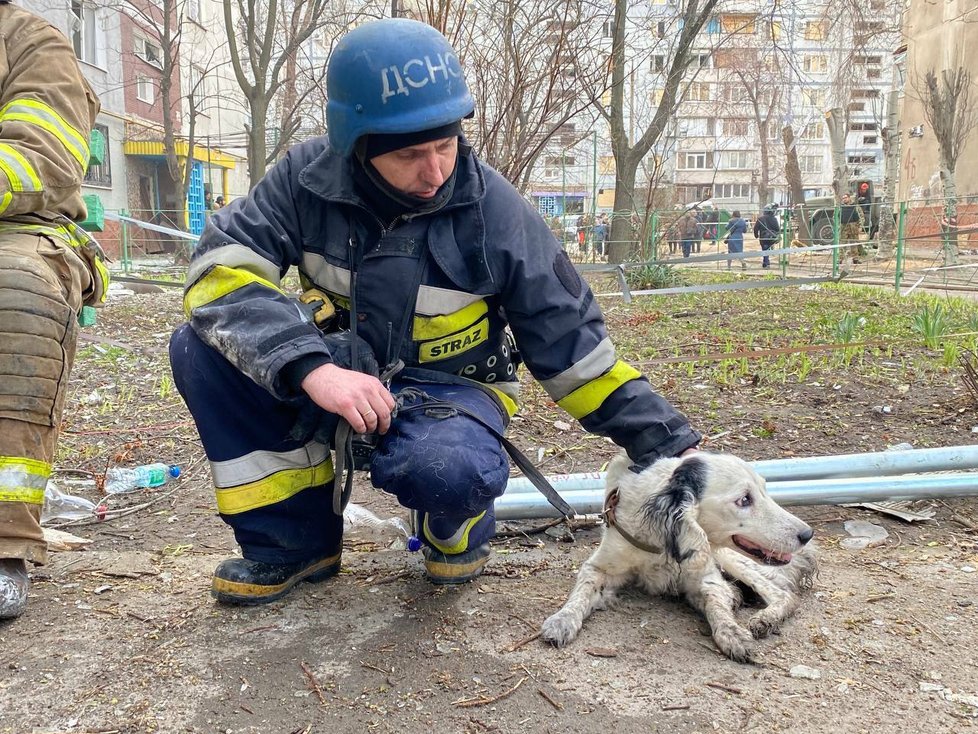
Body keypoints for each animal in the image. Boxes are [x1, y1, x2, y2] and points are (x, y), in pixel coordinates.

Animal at [540, 452, 816, 664]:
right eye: (744, 499)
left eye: (765, 490)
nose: (807, 534)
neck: (662, 540)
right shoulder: (600, 566)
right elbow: (582, 592)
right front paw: (562, 620)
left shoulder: (705, 576)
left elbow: (717, 605)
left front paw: (733, 634)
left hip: (731, 558)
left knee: (783, 593)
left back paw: (766, 618)